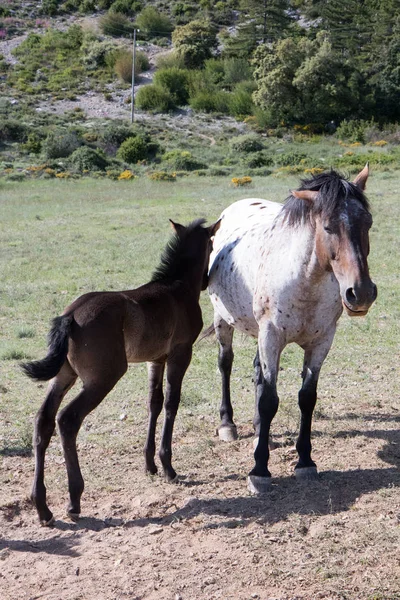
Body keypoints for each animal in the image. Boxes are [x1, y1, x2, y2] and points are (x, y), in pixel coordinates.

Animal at [21, 218, 220, 524]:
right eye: (211, 245)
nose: (206, 281)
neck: (176, 288)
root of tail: (70, 317)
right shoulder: (180, 353)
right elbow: (172, 403)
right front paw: (168, 467)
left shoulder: (156, 359)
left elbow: (154, 403)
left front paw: (149, 465)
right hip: (103, 377)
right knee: (67, 419)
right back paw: (74, 500)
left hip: (65, 374)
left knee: (43, 420)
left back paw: (42, 507)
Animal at [208, 164, 376, 492]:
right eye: (327, 227)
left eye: (369, 223)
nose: (360, 293)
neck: (305, 280)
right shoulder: (271, 337)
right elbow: (269, 399)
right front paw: (259, 470)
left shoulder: (321, 342)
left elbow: (306, 398)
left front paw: (305, 461)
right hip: (224, 321)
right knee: (225, 364)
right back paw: (227, 424)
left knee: (257, 373)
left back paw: (259, 430)